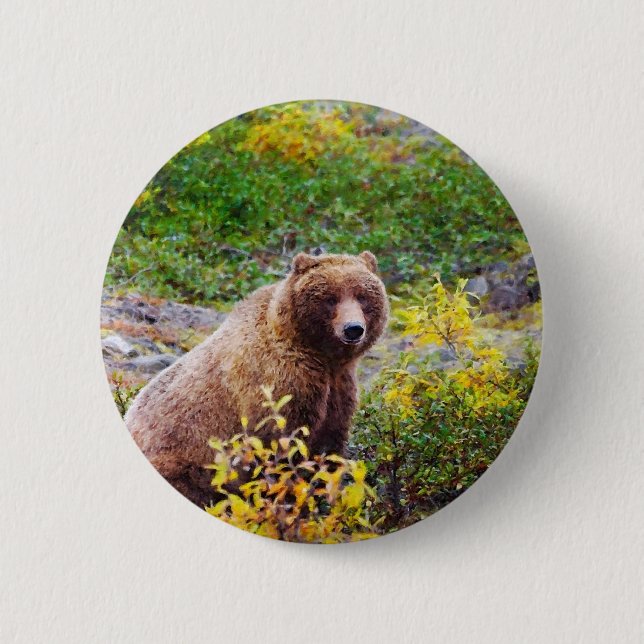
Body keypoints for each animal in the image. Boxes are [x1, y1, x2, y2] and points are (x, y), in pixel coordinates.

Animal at [125, 251, 389, 507]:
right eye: (330, 298)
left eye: (362, 296)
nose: (353, 328)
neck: (320, 356)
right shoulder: (280, 382)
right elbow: (282, 446)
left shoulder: (338, 387)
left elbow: (329, 447)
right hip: (183, 459)